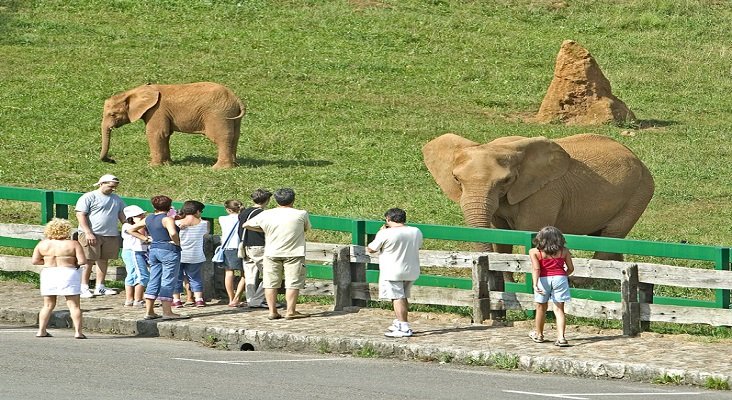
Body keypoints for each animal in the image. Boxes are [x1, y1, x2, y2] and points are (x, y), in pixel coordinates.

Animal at [100, 81, 246, 169]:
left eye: (112, 114)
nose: (112, 160)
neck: (135, 91)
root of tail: (236, 98)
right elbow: (165, 135)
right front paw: (167, 164)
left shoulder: (156, 110)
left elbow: (156, 133)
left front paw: (153, 166)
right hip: (230, 115)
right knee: (235, 136)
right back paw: (234, 165)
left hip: (218, 114)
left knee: (221, 137)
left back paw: (218, 169)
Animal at [420, 133, 656, 264]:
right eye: (456, 178)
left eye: (506, 180)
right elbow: (500, 236)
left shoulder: (543, 194)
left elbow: (530, 234)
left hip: (640, 191)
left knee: (611, 236)